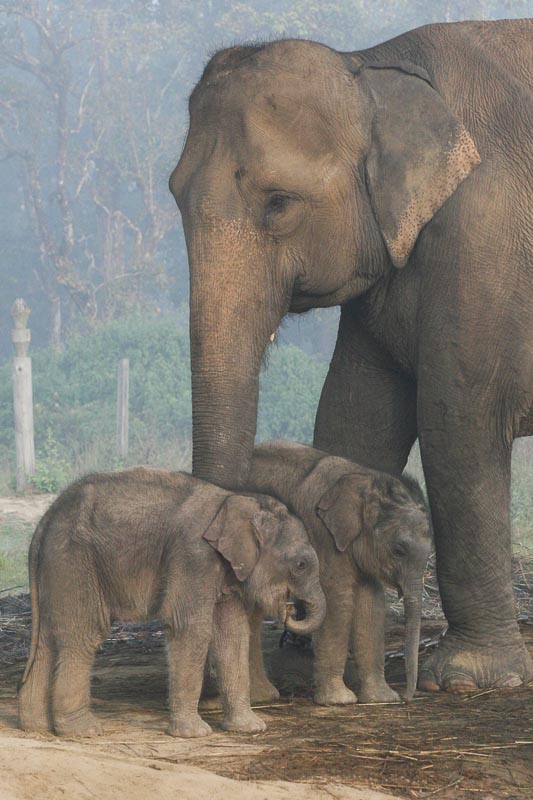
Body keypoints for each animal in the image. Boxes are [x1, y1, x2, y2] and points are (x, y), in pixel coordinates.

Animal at [17, 468, 324, 736]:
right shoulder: (193, 556)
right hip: (74, 559)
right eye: (300, 564)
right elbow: (189, 628)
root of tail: (45, 520)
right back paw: (83, 731)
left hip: (57, 566)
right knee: (84, 634)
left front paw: (251, 728)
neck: (235, 499)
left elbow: (232, 634)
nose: (289, 611)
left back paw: (35, 726)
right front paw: (195, 734)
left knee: (47, 640)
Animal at [246, 444, 432, 708]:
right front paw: (339, 701)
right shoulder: (321, 533)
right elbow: (337, 600)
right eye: (399, 550)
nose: (406, 699)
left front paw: (382, 698)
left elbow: (371, 603)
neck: (365, 479)